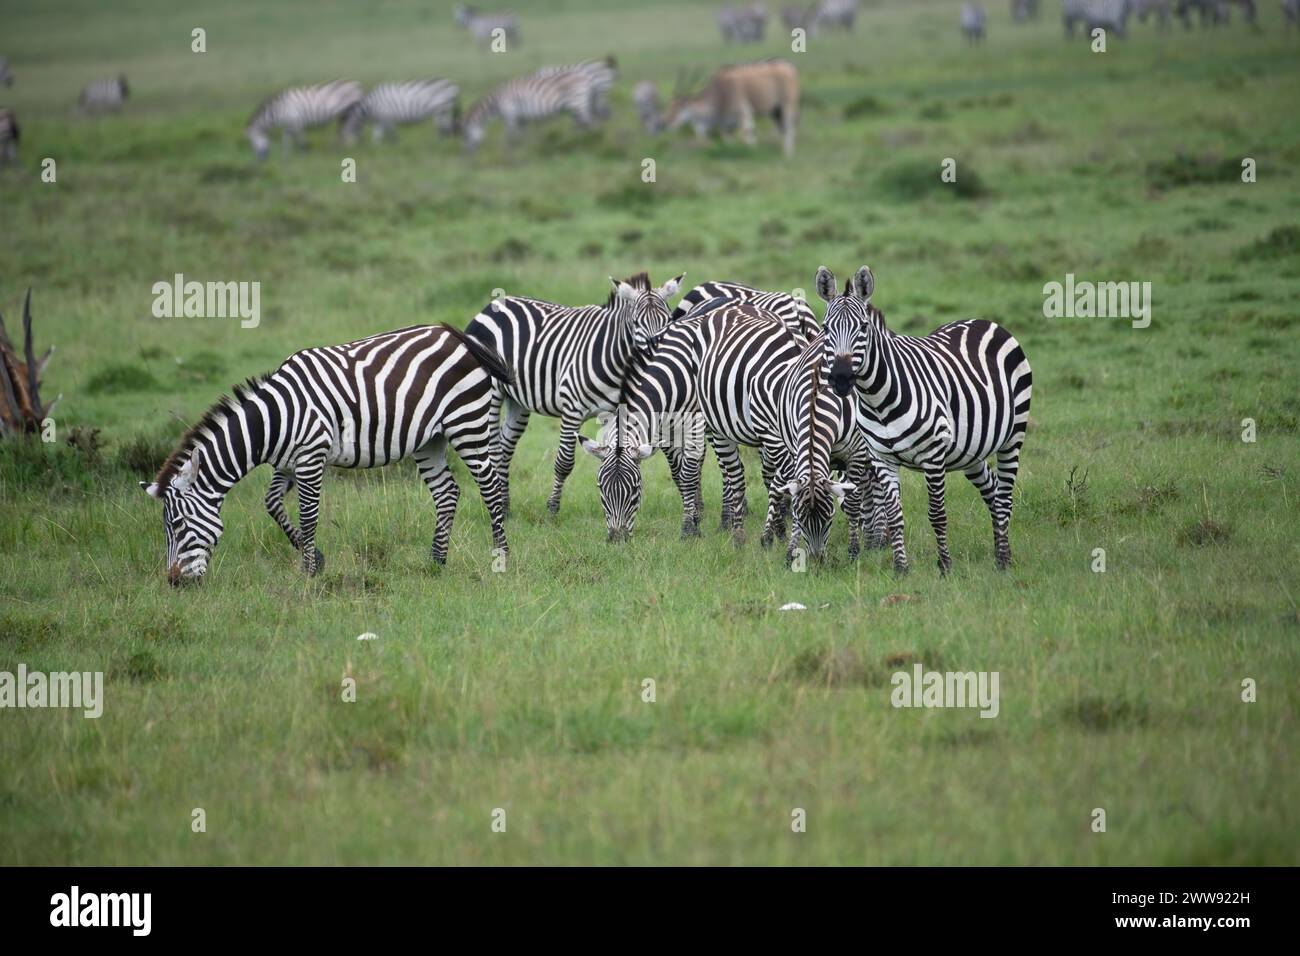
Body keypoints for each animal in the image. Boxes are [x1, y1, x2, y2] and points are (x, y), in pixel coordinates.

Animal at [138, 325, 512, 587]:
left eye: (177, 525)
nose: (173, 583)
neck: (275, 419)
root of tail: (461, 337)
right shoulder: (287, 463)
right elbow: (272, 504)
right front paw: (315, 558)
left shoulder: (310, 457)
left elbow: (308, 515)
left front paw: (306, 572)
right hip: (429, 440)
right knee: (447, 493)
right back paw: (436, 561)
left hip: (467, 423)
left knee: (491, 488)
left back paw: (501, 559)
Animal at [462, 61, 613, 151]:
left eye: (466, 136)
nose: (466, 155)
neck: (496, 102)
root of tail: (588, 78)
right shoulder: (521, 118)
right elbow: (522, 136)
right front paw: (527, 150)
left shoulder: (510, 113)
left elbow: (510, 137)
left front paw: (509, 155)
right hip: (580, 105)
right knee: (586, 123)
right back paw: (582, 142)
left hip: (578, 102)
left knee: (589, 122)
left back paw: (590, 143)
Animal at [465, 273, 681, 520]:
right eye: (636, 323)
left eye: (668, 320)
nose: (658, 353)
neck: (613, 357)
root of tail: (494, 304)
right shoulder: (572, 409)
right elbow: (564, 463)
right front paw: (552, 510)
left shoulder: (614, 411)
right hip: (492, 393)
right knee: (492, 449)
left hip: (517, 401)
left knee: (505, 447)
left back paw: (506, 506)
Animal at [665, 58, 795, 157]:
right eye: (669, 106)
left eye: (678, 108)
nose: (665, 122)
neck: (718, 92)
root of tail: (788, 65)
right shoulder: (726, 125)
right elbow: (728, 140)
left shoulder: (744, 114)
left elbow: (747, 135)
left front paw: (753, 152)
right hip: (775, 111)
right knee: (783, 129)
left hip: (787, 105)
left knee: (789, 128)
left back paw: (787, 155)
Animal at [816, 265, 1029, 572]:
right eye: (825, 329)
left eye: (863, 328)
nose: (841, 379)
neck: (878, 400)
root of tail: (985, 322)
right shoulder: (882, 458)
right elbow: (894, 515)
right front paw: (901, 569)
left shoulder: (933, 455)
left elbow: (937, 514)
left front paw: (945, 566)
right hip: (971, 451)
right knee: (993, 489)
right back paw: (1002, 551)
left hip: (1013, 436)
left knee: (1004, 497)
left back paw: (1002, 561)